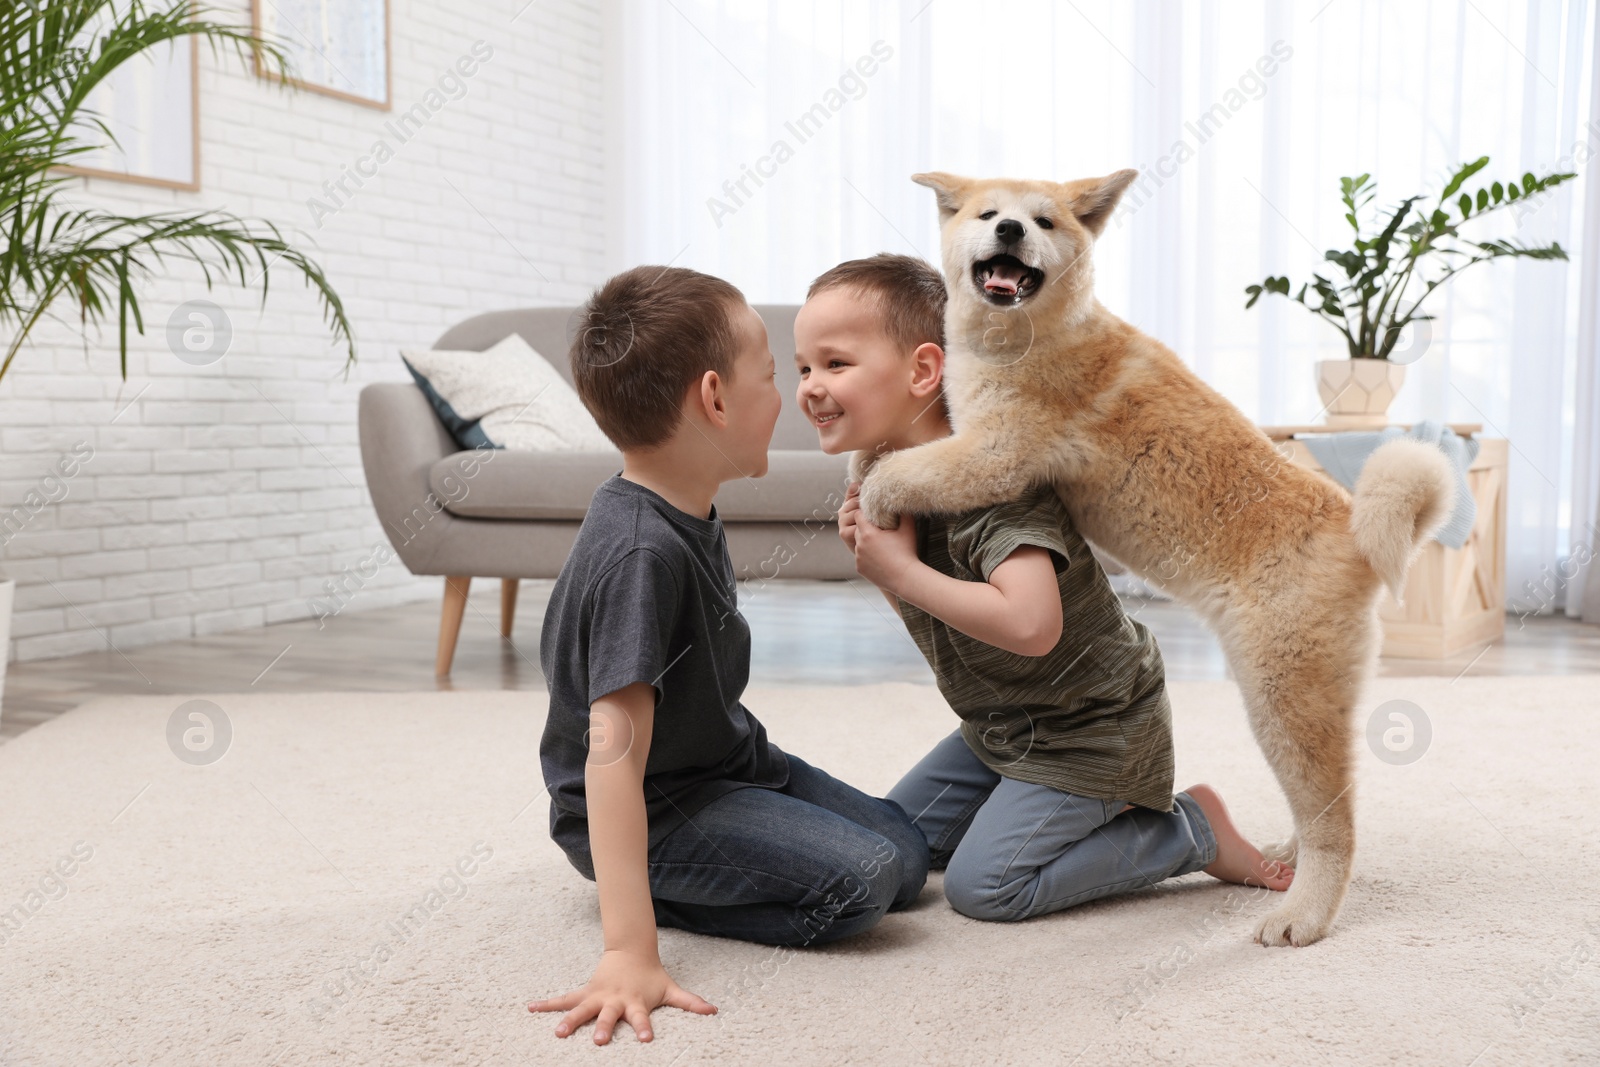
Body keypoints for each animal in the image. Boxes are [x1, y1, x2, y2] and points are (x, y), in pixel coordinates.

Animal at [857, 171, 1459, 947]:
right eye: (990, 214)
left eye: (1043, 221)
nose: (1011, 231)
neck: (1029, 335)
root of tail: (1352, 526)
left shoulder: (995, 455)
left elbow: (903, 469)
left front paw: (871, 499)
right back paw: (1287, 857)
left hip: (1281, 696)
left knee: (1337, 821)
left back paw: (1302, 914)